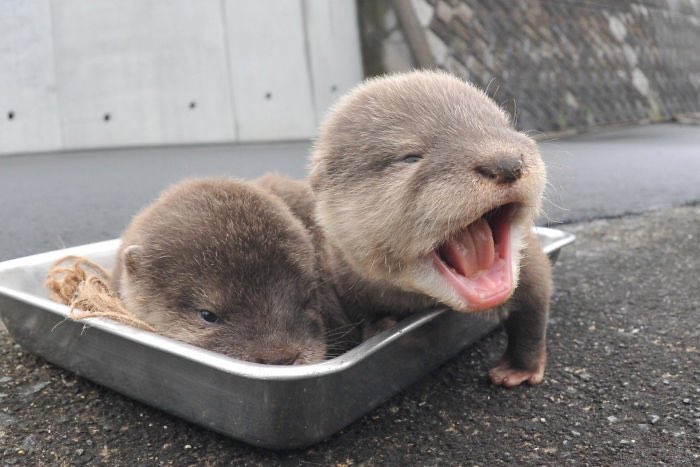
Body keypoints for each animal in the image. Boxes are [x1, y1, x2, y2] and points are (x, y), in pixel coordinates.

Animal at [276, 70, 552, 386]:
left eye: (505, 127)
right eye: (410, 156)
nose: (506, 163)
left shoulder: (529, 260)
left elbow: (532, 309)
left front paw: (519, 367)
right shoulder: (342, 276)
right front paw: (381, 325)